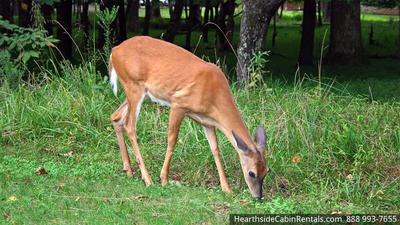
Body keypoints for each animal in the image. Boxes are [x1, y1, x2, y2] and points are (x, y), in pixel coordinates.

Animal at [108, 35, 268, 199]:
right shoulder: (178, 104)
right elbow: (172, 140)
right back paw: (147, 178)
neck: (214, 96)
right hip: (134, 85)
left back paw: (128, 170)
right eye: (252, 173)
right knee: (129, 125)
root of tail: (115, 51)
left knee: (116, 116)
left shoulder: (208, 122)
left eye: (266, 171)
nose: (258, 197)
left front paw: (226, 188)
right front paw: (164, 178)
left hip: (139, 93)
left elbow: (215, 149)